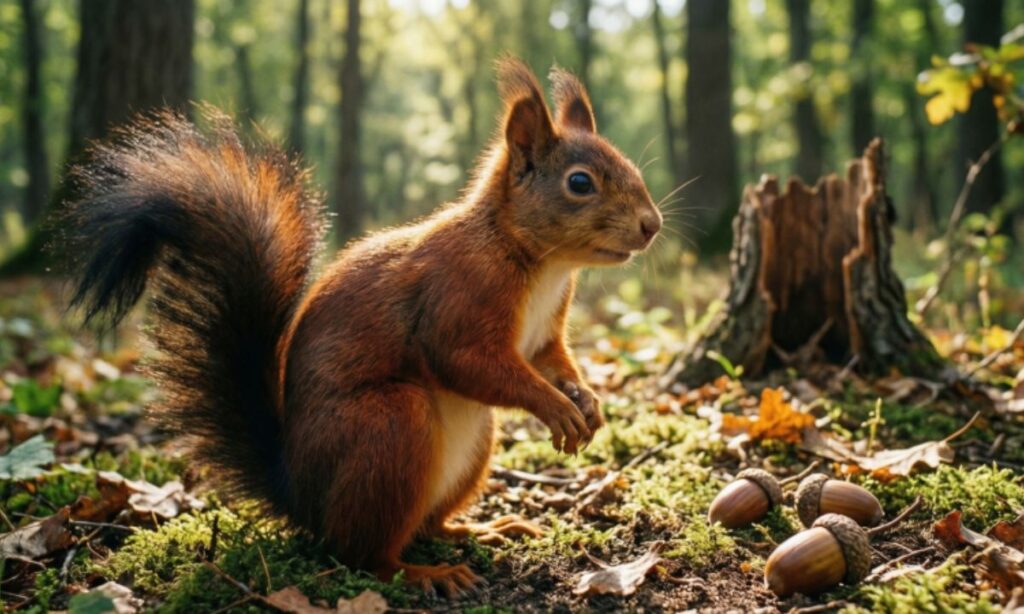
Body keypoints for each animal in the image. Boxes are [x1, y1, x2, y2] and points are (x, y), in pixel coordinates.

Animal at [62, 58, 661, 596]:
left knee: (424, 526)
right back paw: (427, 574)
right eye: (580, 183)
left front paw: (587, 401)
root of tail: (299, 497)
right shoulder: (457, 299)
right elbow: (468, 362)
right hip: (391, 426)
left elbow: (551, 360)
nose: (652, 225)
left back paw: (481, 529)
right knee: (362, 554)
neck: (539, 261)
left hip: (467, 448)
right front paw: (556, 407)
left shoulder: (544, 331)